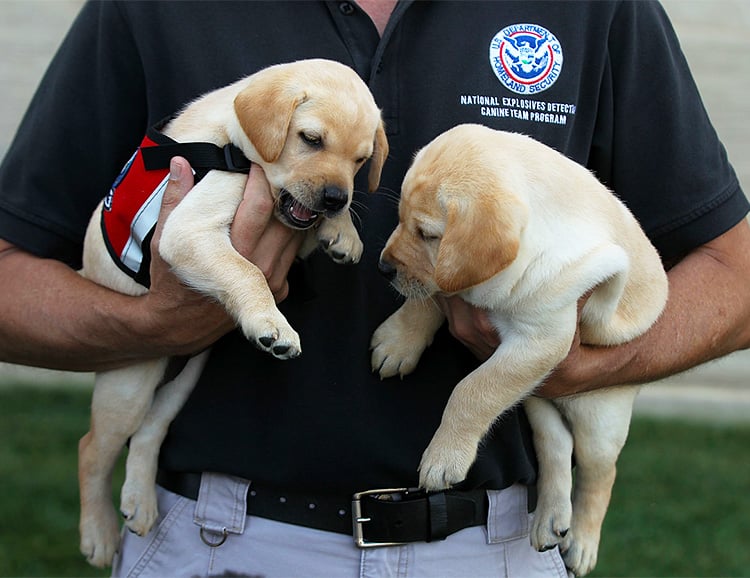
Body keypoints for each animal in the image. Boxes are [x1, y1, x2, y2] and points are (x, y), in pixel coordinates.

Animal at [374, 124, 668, 572]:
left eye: (428, 234)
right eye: (401, 221)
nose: (384, 268)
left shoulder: (541, 340)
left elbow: (472, 391)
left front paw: (444, 457)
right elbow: (433, 293)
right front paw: (398, 339)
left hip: (601, 416)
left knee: (599, 471)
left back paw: (582, 540)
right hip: (536, 399)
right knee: (555, 446)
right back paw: (550, 519)